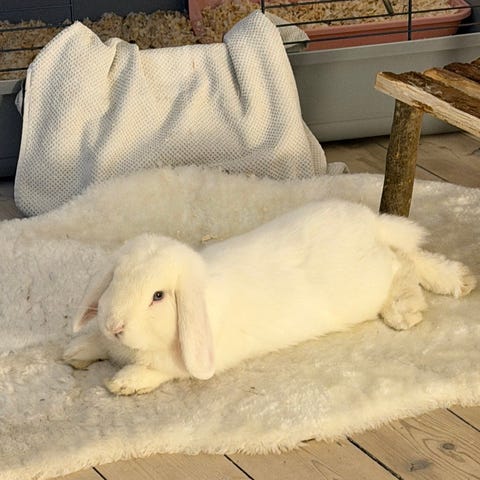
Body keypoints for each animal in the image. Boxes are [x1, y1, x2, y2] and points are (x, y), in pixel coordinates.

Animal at [63, 199, 476, 395]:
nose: (115, 324)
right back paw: (461, 280)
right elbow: (95, 345)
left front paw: (124, 383)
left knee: (400, 264)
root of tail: (371, 224)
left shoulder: (190, 361)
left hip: (367, 285)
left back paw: (406, 310)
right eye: (116, 279)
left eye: (158, 296)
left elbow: (163, 371)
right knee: (410, 256)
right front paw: (76, 351)